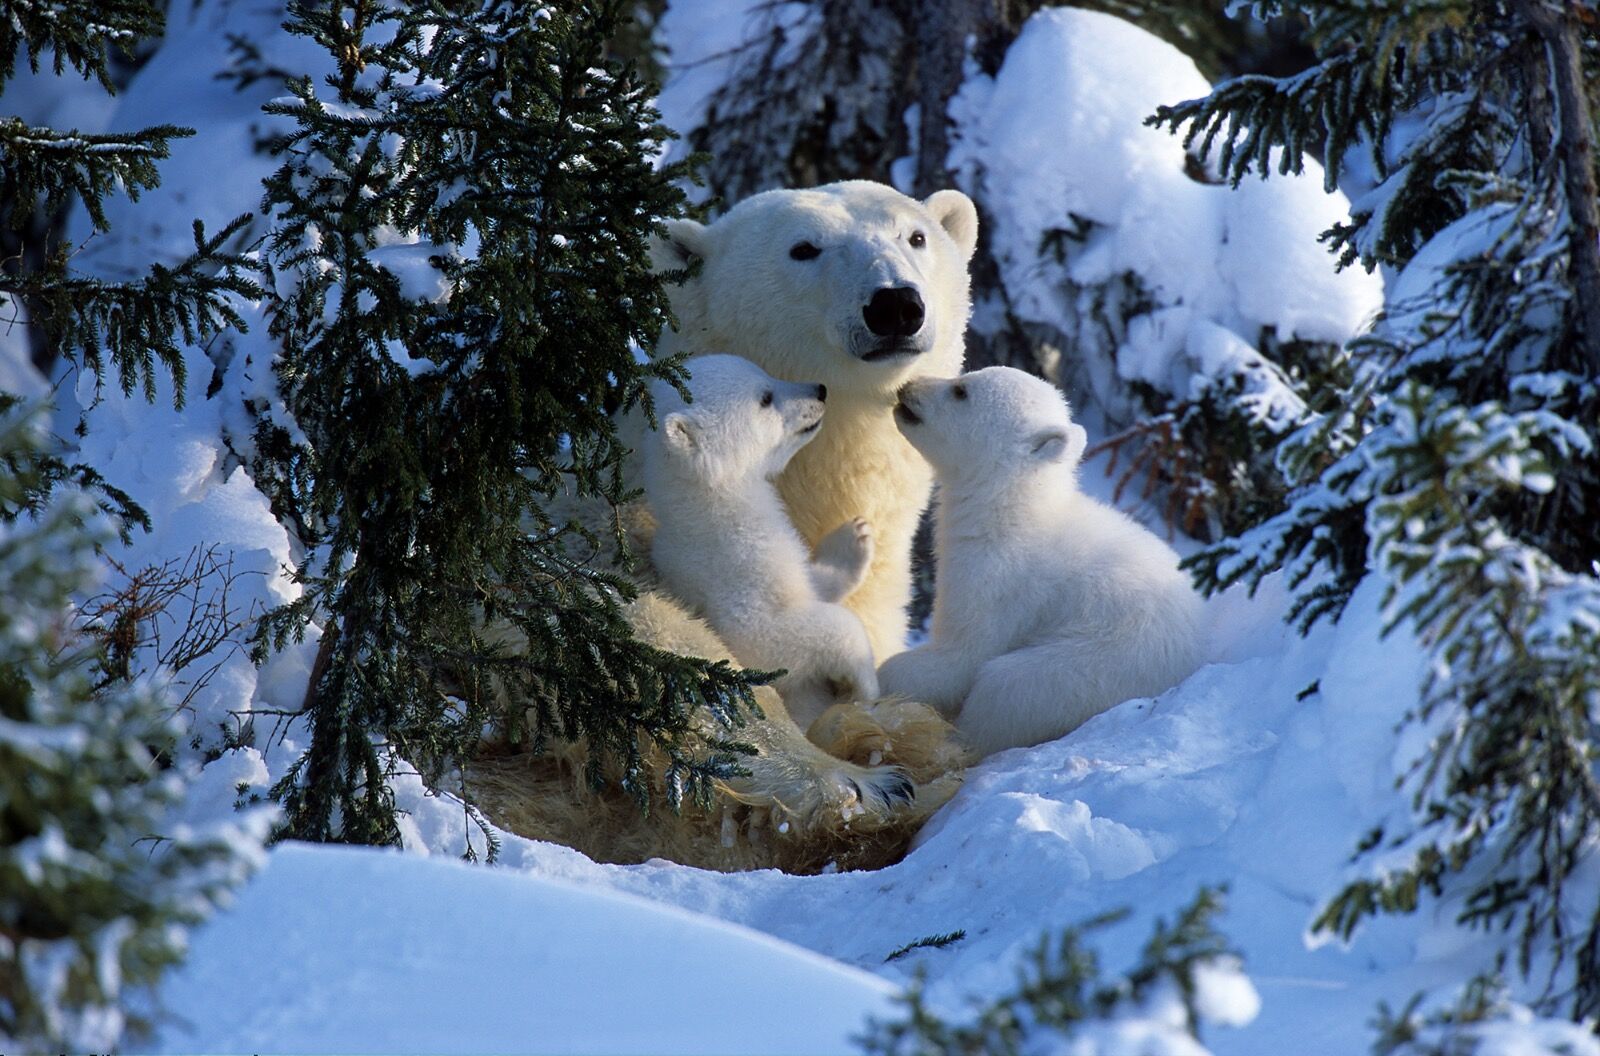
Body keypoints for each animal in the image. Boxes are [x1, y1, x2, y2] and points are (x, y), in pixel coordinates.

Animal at [642, 353, 883, 735]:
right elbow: (770, 642)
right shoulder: (737, 570)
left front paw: (855, 536)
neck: (716, 508)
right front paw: (863, 686)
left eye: (764, 372)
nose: (819, 389)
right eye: (766, 398)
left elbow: (808, 584)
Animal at [877, 366, 1204, 758]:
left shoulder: (998, 579)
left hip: (1094, 663)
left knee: (1008, 687)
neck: (1012, 509)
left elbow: (964, 654)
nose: (907, 386)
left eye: (961, 390)